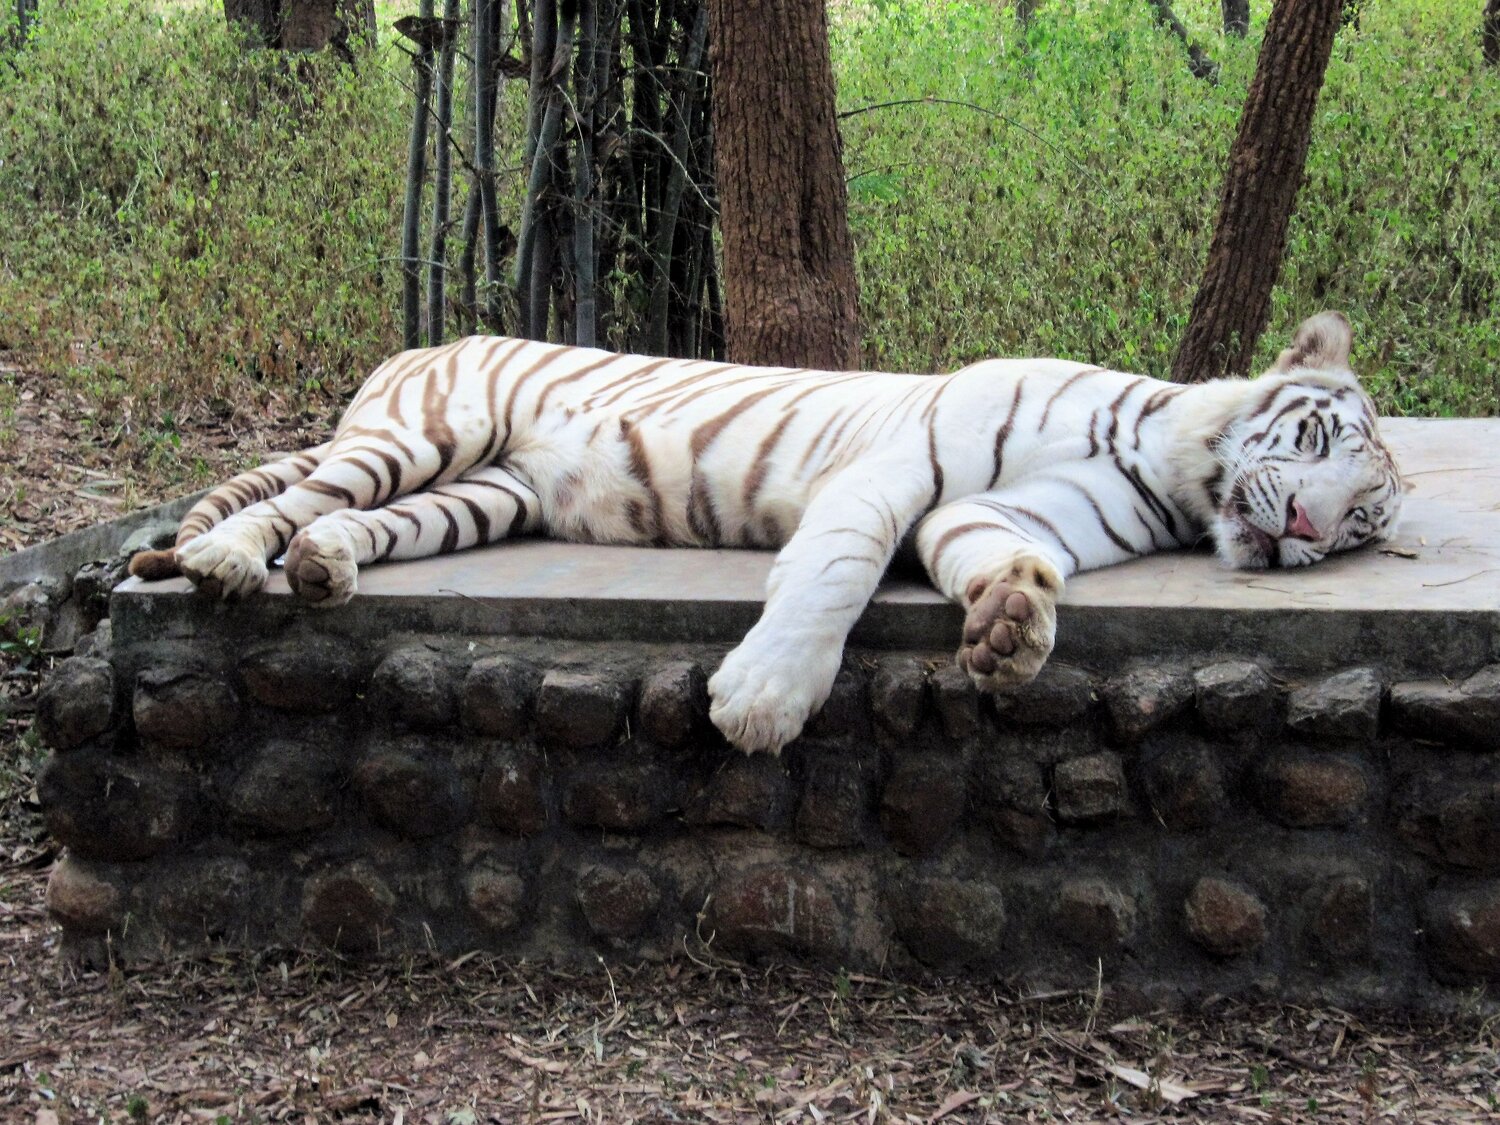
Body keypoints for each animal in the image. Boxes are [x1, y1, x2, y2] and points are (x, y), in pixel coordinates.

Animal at [129, 310, 1403, 754]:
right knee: (298, 497)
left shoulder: (992, 512)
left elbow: (1007, 562)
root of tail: (418, 344)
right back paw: (229, 562)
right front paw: (762, 704)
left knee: (360, 524)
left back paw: (326, 569)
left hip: (486, 493)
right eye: (1321, 439)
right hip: (430, 432)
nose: (1300, 530)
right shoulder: (898, 472)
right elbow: (835, 577)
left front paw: (1009, 633)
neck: (1171, 474)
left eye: (1358, 527)